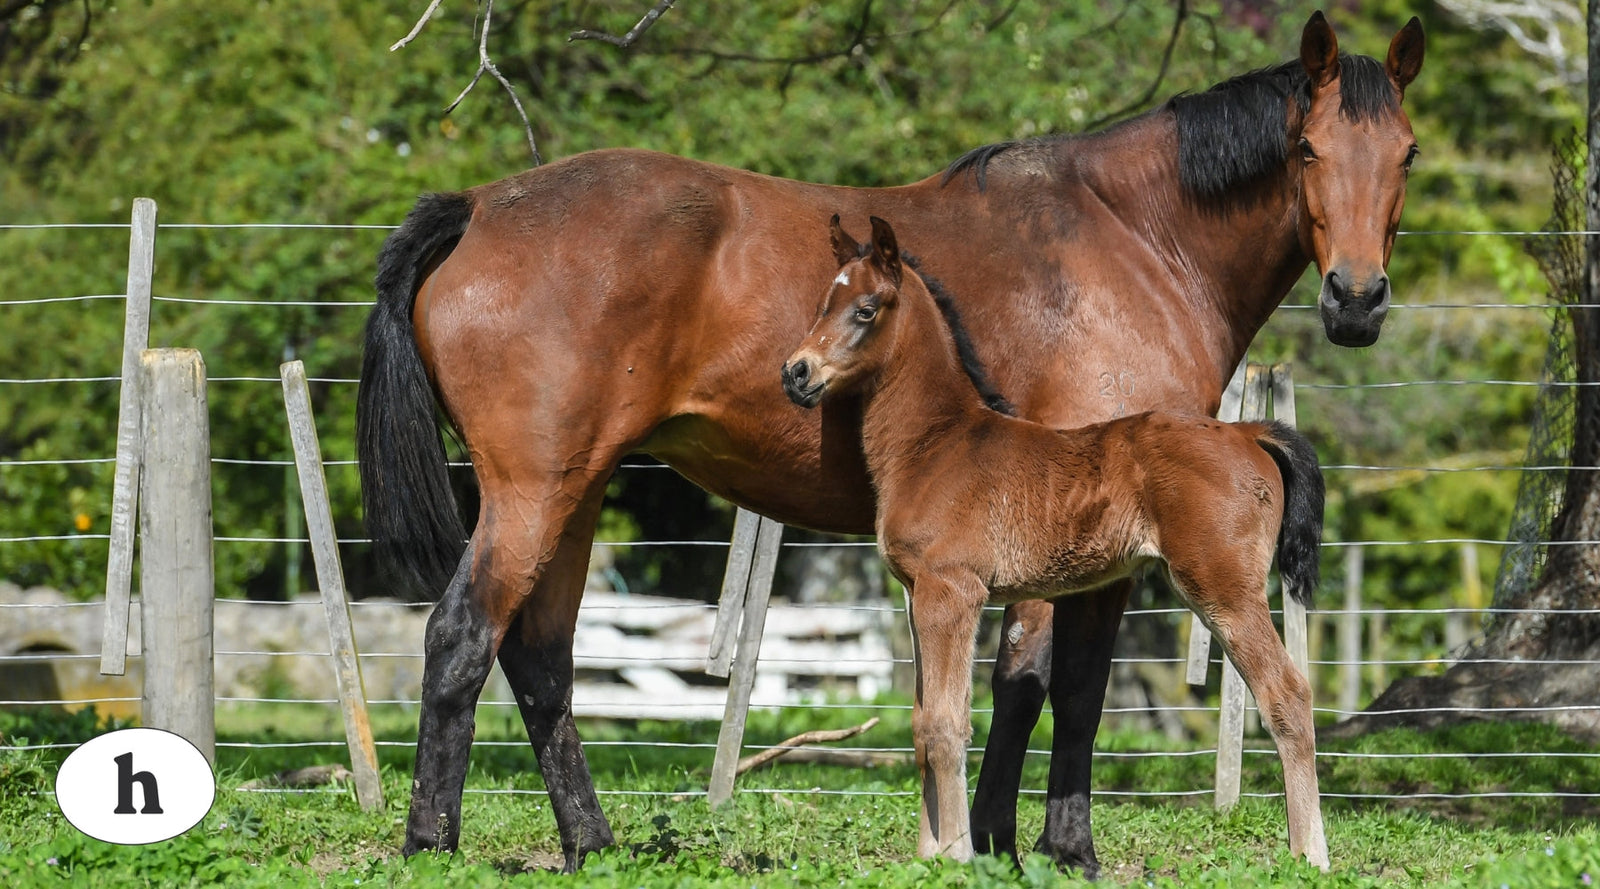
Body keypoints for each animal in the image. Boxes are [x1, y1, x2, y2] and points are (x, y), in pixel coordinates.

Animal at [782, 214, 1328, 866]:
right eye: (823, 302)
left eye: (865, 309)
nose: (796, 373)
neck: (936, 445)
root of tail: (1247, 434)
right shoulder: (918, 594)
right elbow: (919, 723)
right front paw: (928, 857)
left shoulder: (953, 592)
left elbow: (947, 724)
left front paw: (959, 856)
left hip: (1223, 586)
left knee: (1288, 695)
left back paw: (1312, 855)